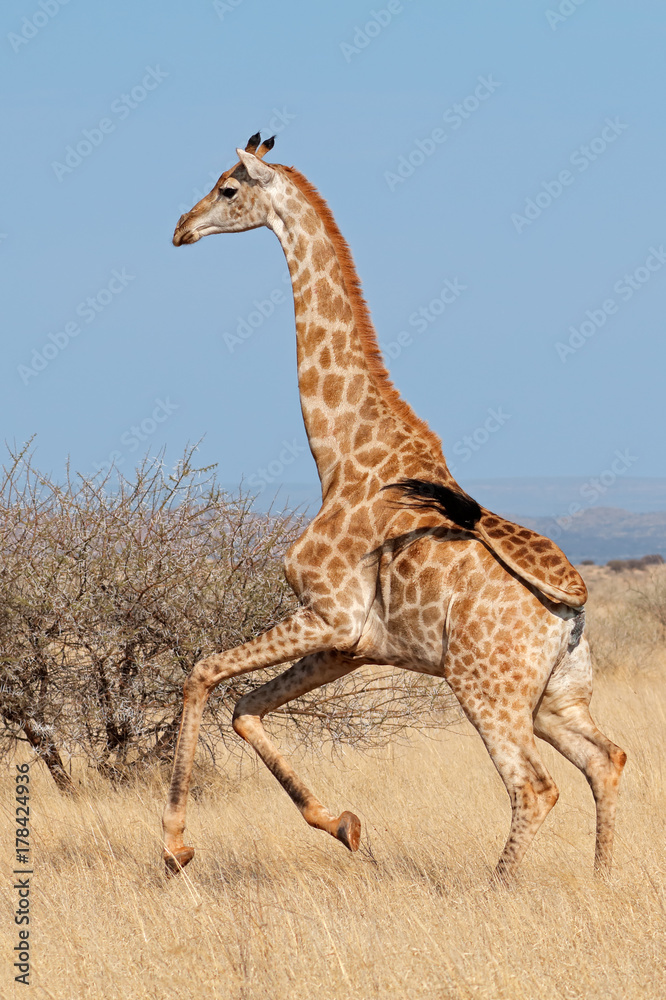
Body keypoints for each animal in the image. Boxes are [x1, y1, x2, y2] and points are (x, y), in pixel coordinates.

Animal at [163, 133, 626, 881]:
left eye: (227, 189)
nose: (181, 227)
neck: (340, 454)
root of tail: (574, 601)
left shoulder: (328, 614)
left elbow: (204, 672)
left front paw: (175, 845)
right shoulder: (352, 645)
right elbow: (244, 708)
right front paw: (343, 825)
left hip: (486, 687)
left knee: (534, 786)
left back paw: (495, 892)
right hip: (558, 695)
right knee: (605, 760)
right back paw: (600, 882)